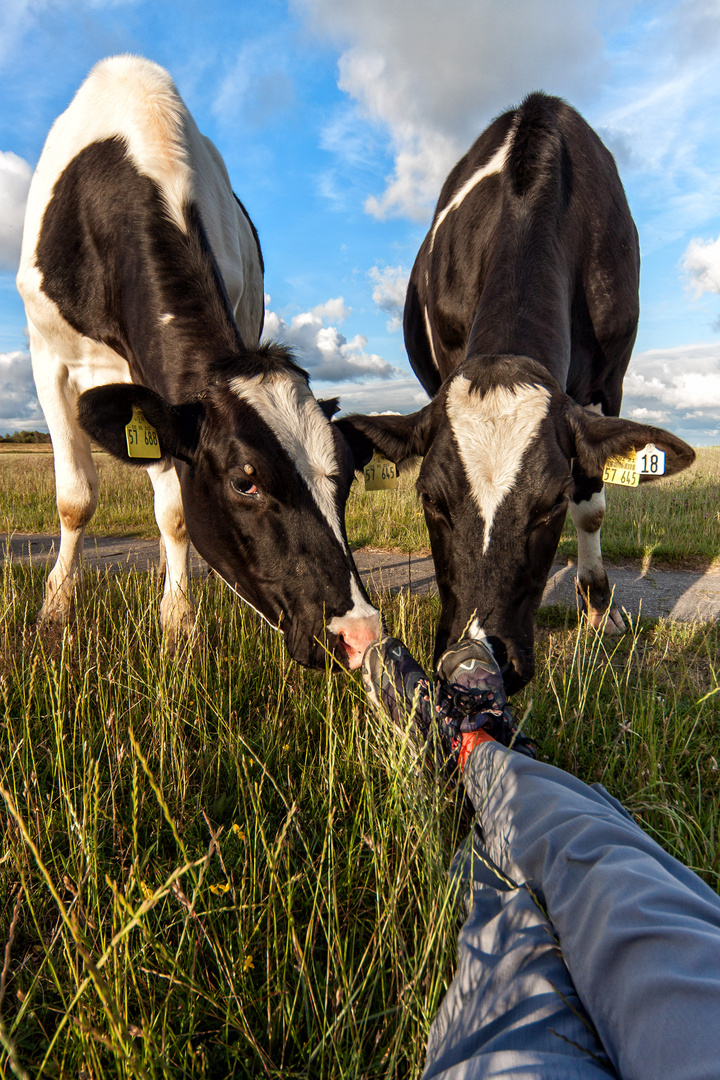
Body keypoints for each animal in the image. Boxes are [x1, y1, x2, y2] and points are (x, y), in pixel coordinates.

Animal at [16, 56, 379, 673]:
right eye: (244, 481)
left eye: (348, 474)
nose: (359, 632)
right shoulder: (49, 353)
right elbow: (75, 499)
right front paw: (54, 617)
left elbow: (178, 513)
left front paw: (178, 627)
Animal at [341, 92, 695, 691]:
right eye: (429, 498)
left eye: (550, 502)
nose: (475, 656)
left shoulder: (609, 381)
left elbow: (592, 505)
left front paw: (600, 607)